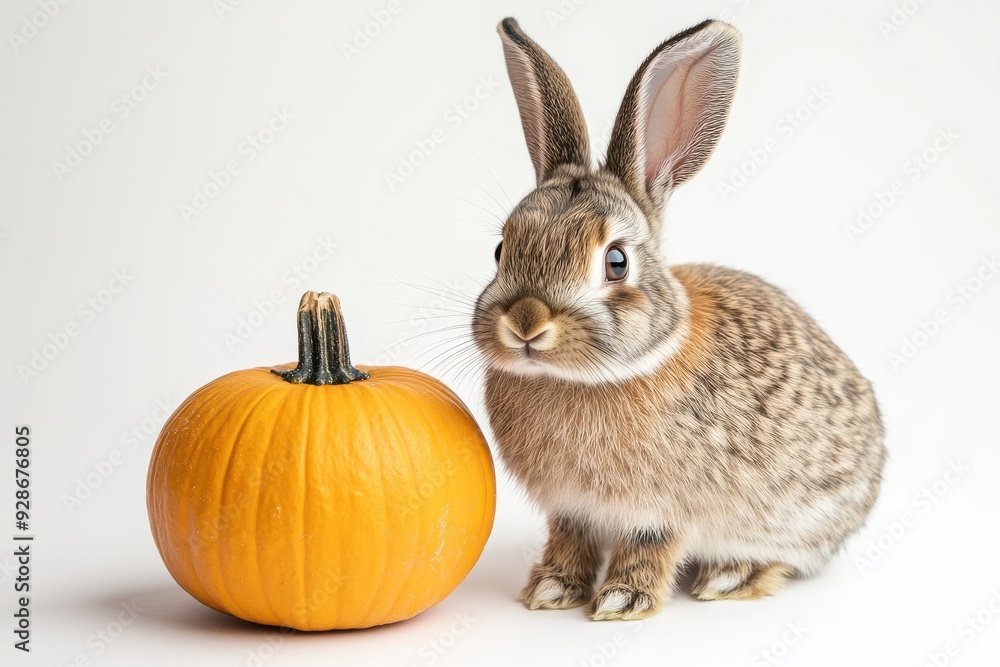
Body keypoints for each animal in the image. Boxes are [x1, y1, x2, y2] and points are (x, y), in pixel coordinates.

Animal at [471, 17, 886, 621]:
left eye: (616, 262)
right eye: (502, 250)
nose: (526, 322)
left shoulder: (663, 511)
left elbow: (650, 548)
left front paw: (622, 600)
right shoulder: (572, 509)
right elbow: (569, 541)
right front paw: (551, 589)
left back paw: (732, 576)